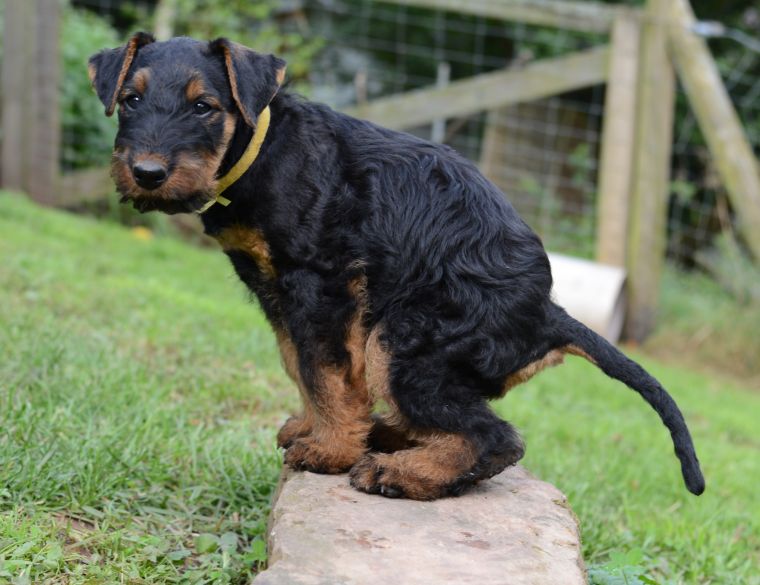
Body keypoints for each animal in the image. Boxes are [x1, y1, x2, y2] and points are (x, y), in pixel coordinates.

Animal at [88, 33, 705, 500]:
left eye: (204, 106)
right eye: (131, 99)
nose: (146, 173)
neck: (263, 151)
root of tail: (549, 315)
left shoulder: (322, 284)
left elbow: (324, 372)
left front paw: (331, 449)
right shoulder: (276, 291)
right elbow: (300, 364)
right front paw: (313, 428)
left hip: (408, 342)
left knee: (493, 438)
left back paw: (396, 472)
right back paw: (386, 438)